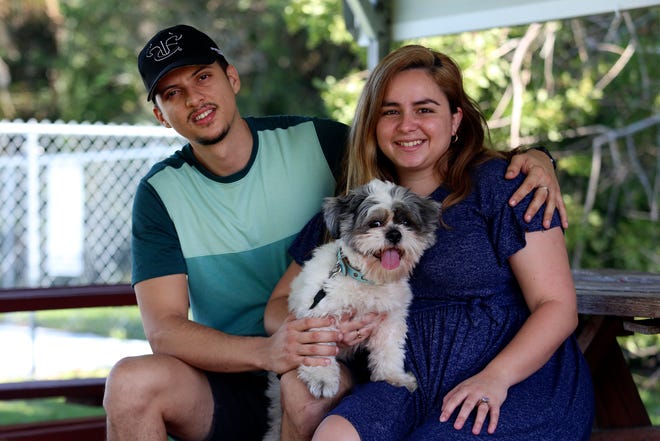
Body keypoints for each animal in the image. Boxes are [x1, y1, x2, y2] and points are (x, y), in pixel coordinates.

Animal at [262, 179, 438, 440]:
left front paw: (391, 375)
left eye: (406, 221)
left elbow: (389, 350)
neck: (366, 279)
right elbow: (320, 350)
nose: (394, 233)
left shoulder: (390, 320)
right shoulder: (319, 315)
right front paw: (322, 378)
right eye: (375, 223)